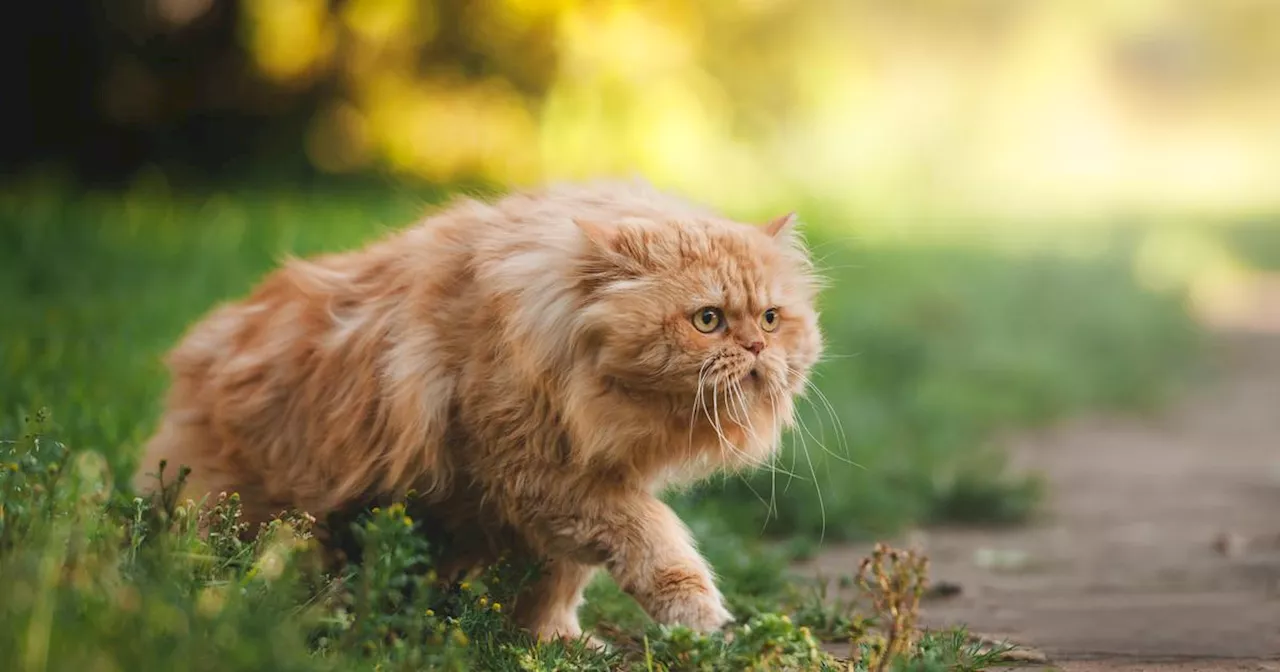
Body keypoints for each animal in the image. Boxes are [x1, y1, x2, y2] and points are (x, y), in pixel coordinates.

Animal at [135, 177, 824, 640]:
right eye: (708, 321)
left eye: (770, 318)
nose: (756, 347)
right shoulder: (541, 474)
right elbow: (653, 537)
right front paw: (697, 613)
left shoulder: (569, 492)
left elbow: (558, 581)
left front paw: (553, 642)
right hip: (276, 517)